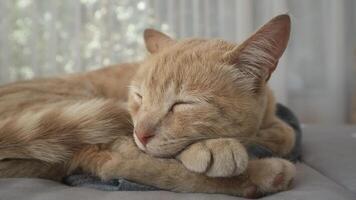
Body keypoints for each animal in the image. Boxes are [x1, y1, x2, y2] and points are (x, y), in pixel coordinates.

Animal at [0, 14, 294, 198]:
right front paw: (214, 147)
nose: (141, 133)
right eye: (140, 97)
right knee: (115, 164)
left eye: (183, 103)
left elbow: (286, 134)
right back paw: (265, 174)